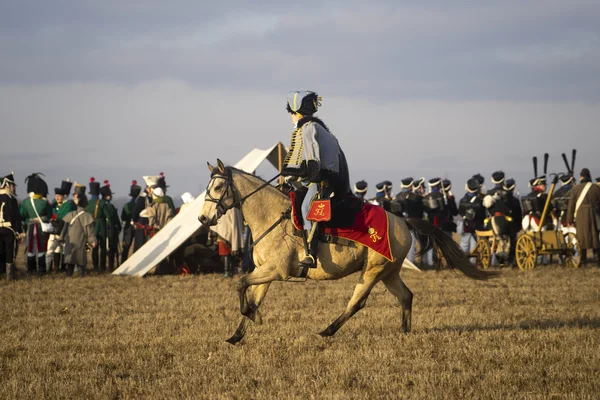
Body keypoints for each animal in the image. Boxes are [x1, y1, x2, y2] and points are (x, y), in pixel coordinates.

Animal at [198, 160, 496, 344]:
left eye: (217, 187)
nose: (203, 218)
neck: (272, 216)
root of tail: (401, 221)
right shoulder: (265, 272)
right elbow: (252, 296)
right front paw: (239, 332)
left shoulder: (275, 271)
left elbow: (241, 284)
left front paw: (253, 316)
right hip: (389, 272)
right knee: (405, 296)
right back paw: (404, 331)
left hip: (373, 271)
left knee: (357, 302)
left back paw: (327, 330)